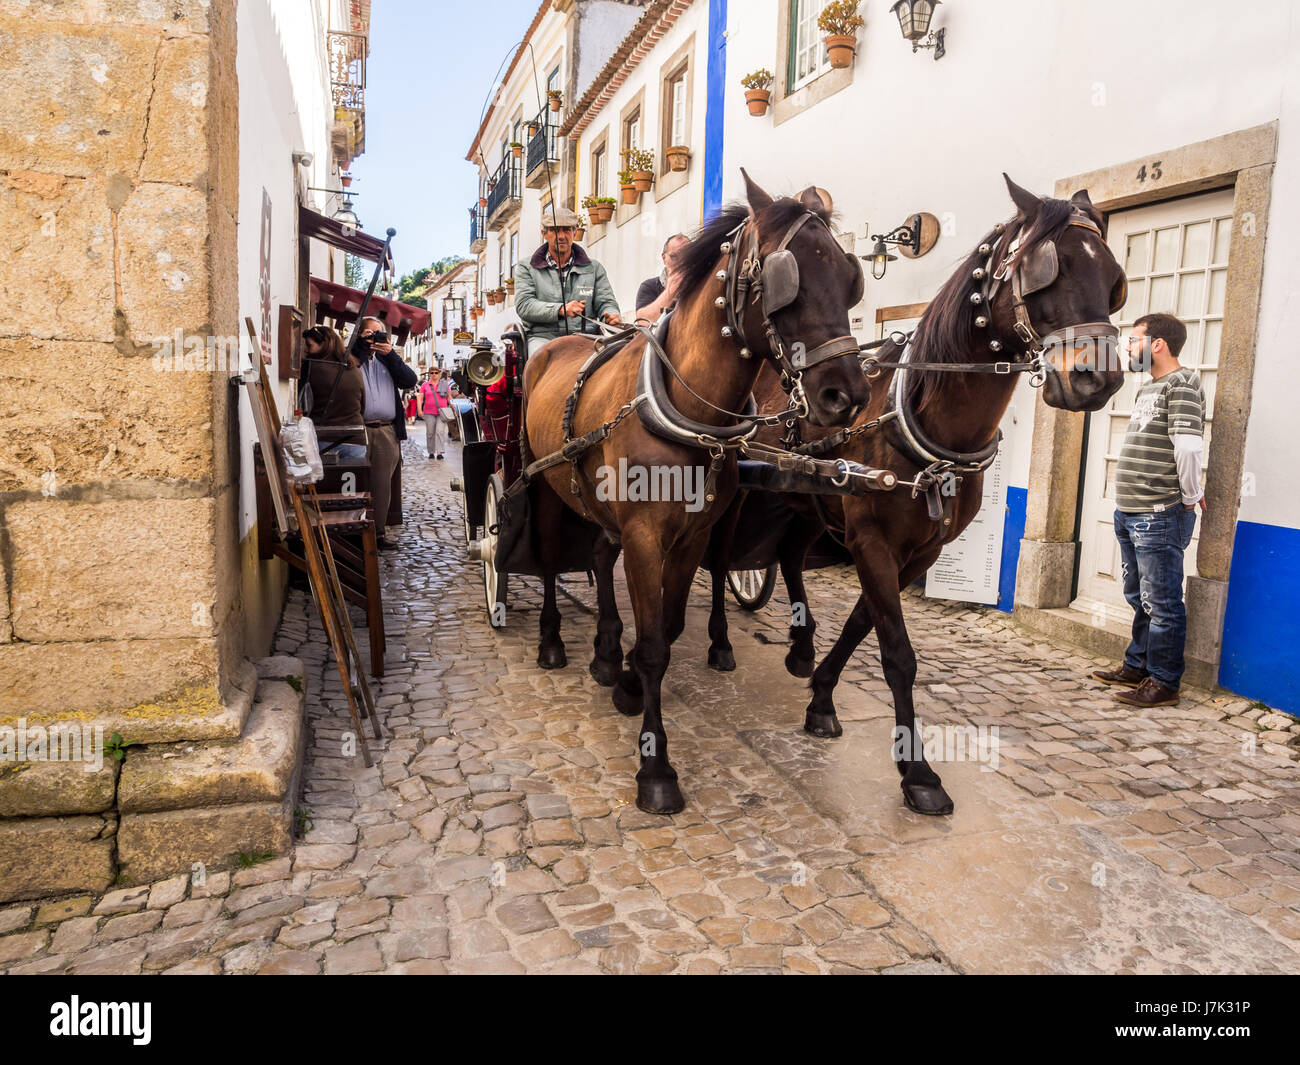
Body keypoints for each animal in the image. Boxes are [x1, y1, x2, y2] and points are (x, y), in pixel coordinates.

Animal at [525, 170, 873, 811]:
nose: (849, 395)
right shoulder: (645, 534)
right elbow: (655, 644)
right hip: (538, 482)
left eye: (848, 276)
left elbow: (667, 627)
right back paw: (552, 641)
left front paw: (628, 681)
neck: (692, 415)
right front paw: (656, 768)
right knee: (545, 555)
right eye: (786, 281)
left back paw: (605, 653)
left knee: (597, 554)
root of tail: (564, 341)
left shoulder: (690, 536)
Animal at [702, 175, 1128, 811]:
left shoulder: (917, 551)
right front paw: (918, 772)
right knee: (719, 555)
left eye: (1112, 278)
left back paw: (801, 647)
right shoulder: (873, 541)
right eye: (1046, 272)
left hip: (809, 500)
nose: (1098, 379)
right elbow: (898, 652)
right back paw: (720, 640)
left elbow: (862, 624)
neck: (926, 422)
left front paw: (822, 696)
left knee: (791, 555)